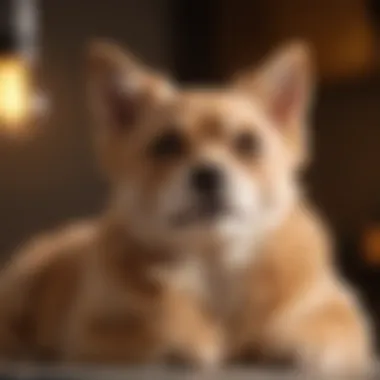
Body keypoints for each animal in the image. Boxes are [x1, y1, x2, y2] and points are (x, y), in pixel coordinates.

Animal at [0, 39, 372, 374]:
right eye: (166, 145)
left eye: (247, 144)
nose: (208, 174)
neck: (214, 265)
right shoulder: (92, 330)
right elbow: (151, 326)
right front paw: (187, 337)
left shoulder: (341, 310)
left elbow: (330, 326)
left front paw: (289, 338)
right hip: (24, 278)